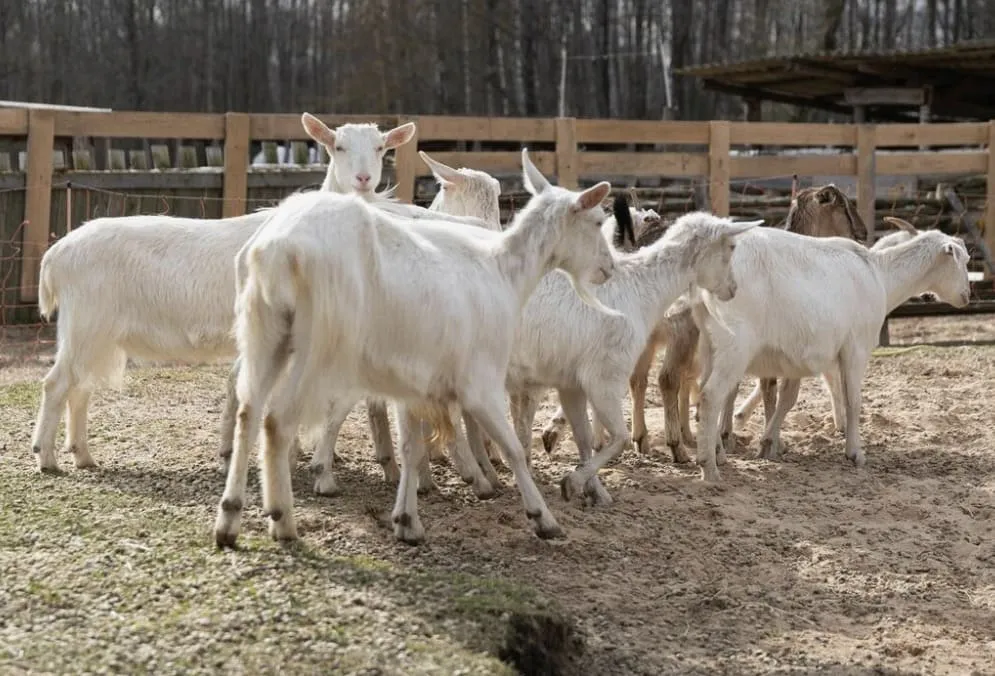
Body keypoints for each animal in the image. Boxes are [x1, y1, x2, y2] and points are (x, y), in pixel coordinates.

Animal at [30, 113, 417, 474]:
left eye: (381, 148)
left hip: (96, 334)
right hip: (85, 324)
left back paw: (82, 455)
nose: (363, 180)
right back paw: (47, 458)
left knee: (79, 389)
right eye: (338, 146)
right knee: (56, 384)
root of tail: (55, 255)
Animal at [213, 149, 617, 547]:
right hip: (318, 346)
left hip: (265, 332)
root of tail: (278, 249)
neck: (505, 273)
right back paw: (282, 518)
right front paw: (541, 517)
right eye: (598, 220)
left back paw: (229, 518)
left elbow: (411, 447)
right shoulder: (480, 381)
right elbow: (513, 449)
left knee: (249, 412)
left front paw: (407, 520)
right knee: (276, 421)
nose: (609, 268)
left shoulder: (412, 383)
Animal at [691, 224, 971, 482]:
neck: (880, 275)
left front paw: (769, 442)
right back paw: (709, 467)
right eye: (964, 260)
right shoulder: (856, 348)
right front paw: (855, 452)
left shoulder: (798, 355)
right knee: (712, 395)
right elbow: (853, 400)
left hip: (709, 343)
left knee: (704, 393)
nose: (967, 295)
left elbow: (787, 399)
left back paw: (717, 452)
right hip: (736, 343)